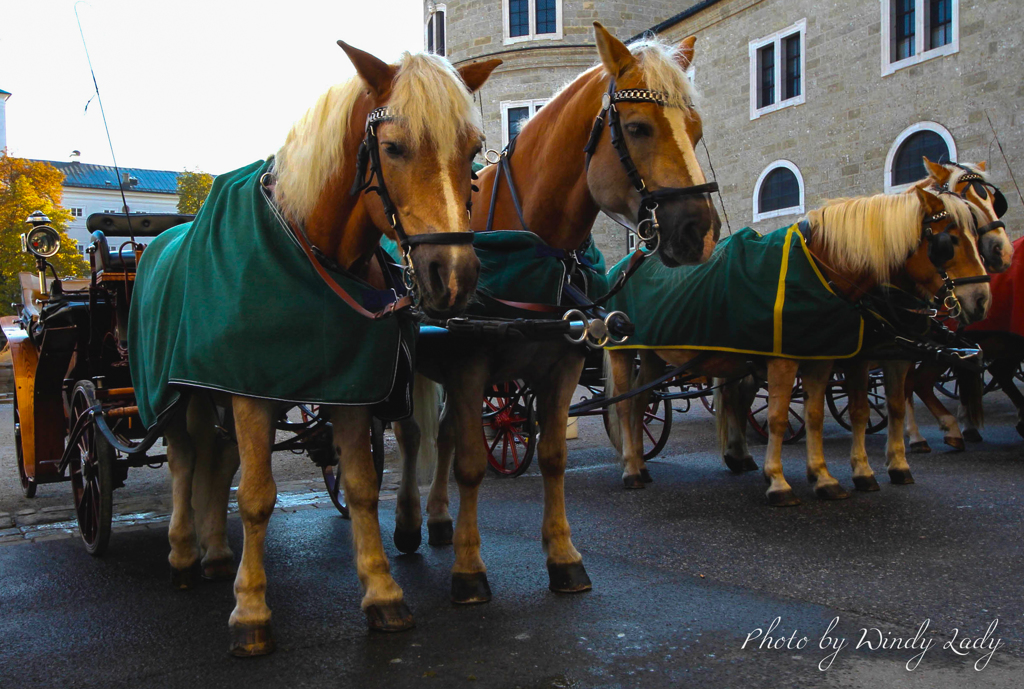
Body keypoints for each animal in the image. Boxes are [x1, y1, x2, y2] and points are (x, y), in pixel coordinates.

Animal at [129, 44, 499, 655]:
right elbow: (257, 497)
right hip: (180, 393)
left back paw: (214, 551)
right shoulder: (251, 391)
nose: (454, 276)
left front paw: (382, 593)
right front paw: (251, 611)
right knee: (184, 460)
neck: (307, 256)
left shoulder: (346, 391)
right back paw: (183, 552)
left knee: (217, 459)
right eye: (393, 148)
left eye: (472, 154)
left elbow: (362, 487)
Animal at [391, 22, 720, 601]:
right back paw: (410, 523)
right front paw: (469, 570)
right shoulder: (470, 367)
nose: (697, 231)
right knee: (413, 436)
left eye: (695, 127)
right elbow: (472, 463)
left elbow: (551, 457)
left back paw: (438, 520)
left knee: (444, 433)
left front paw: (564, 557)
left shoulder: (562, 366)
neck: (533, 249)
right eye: (637, 128)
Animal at [606, 185, 991, 501]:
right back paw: (631, 468)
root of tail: (625, 265)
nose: (981, 299)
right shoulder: (794, 358)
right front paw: (779, 481)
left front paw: (828, 477)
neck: (823, 270)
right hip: (623, 351)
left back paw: (652, 462)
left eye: (976, 238)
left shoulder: (832, 355)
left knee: (647, 402)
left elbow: (827, 413)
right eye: (948, 242)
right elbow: (782, 417)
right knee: (625, 406)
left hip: (656, 355)